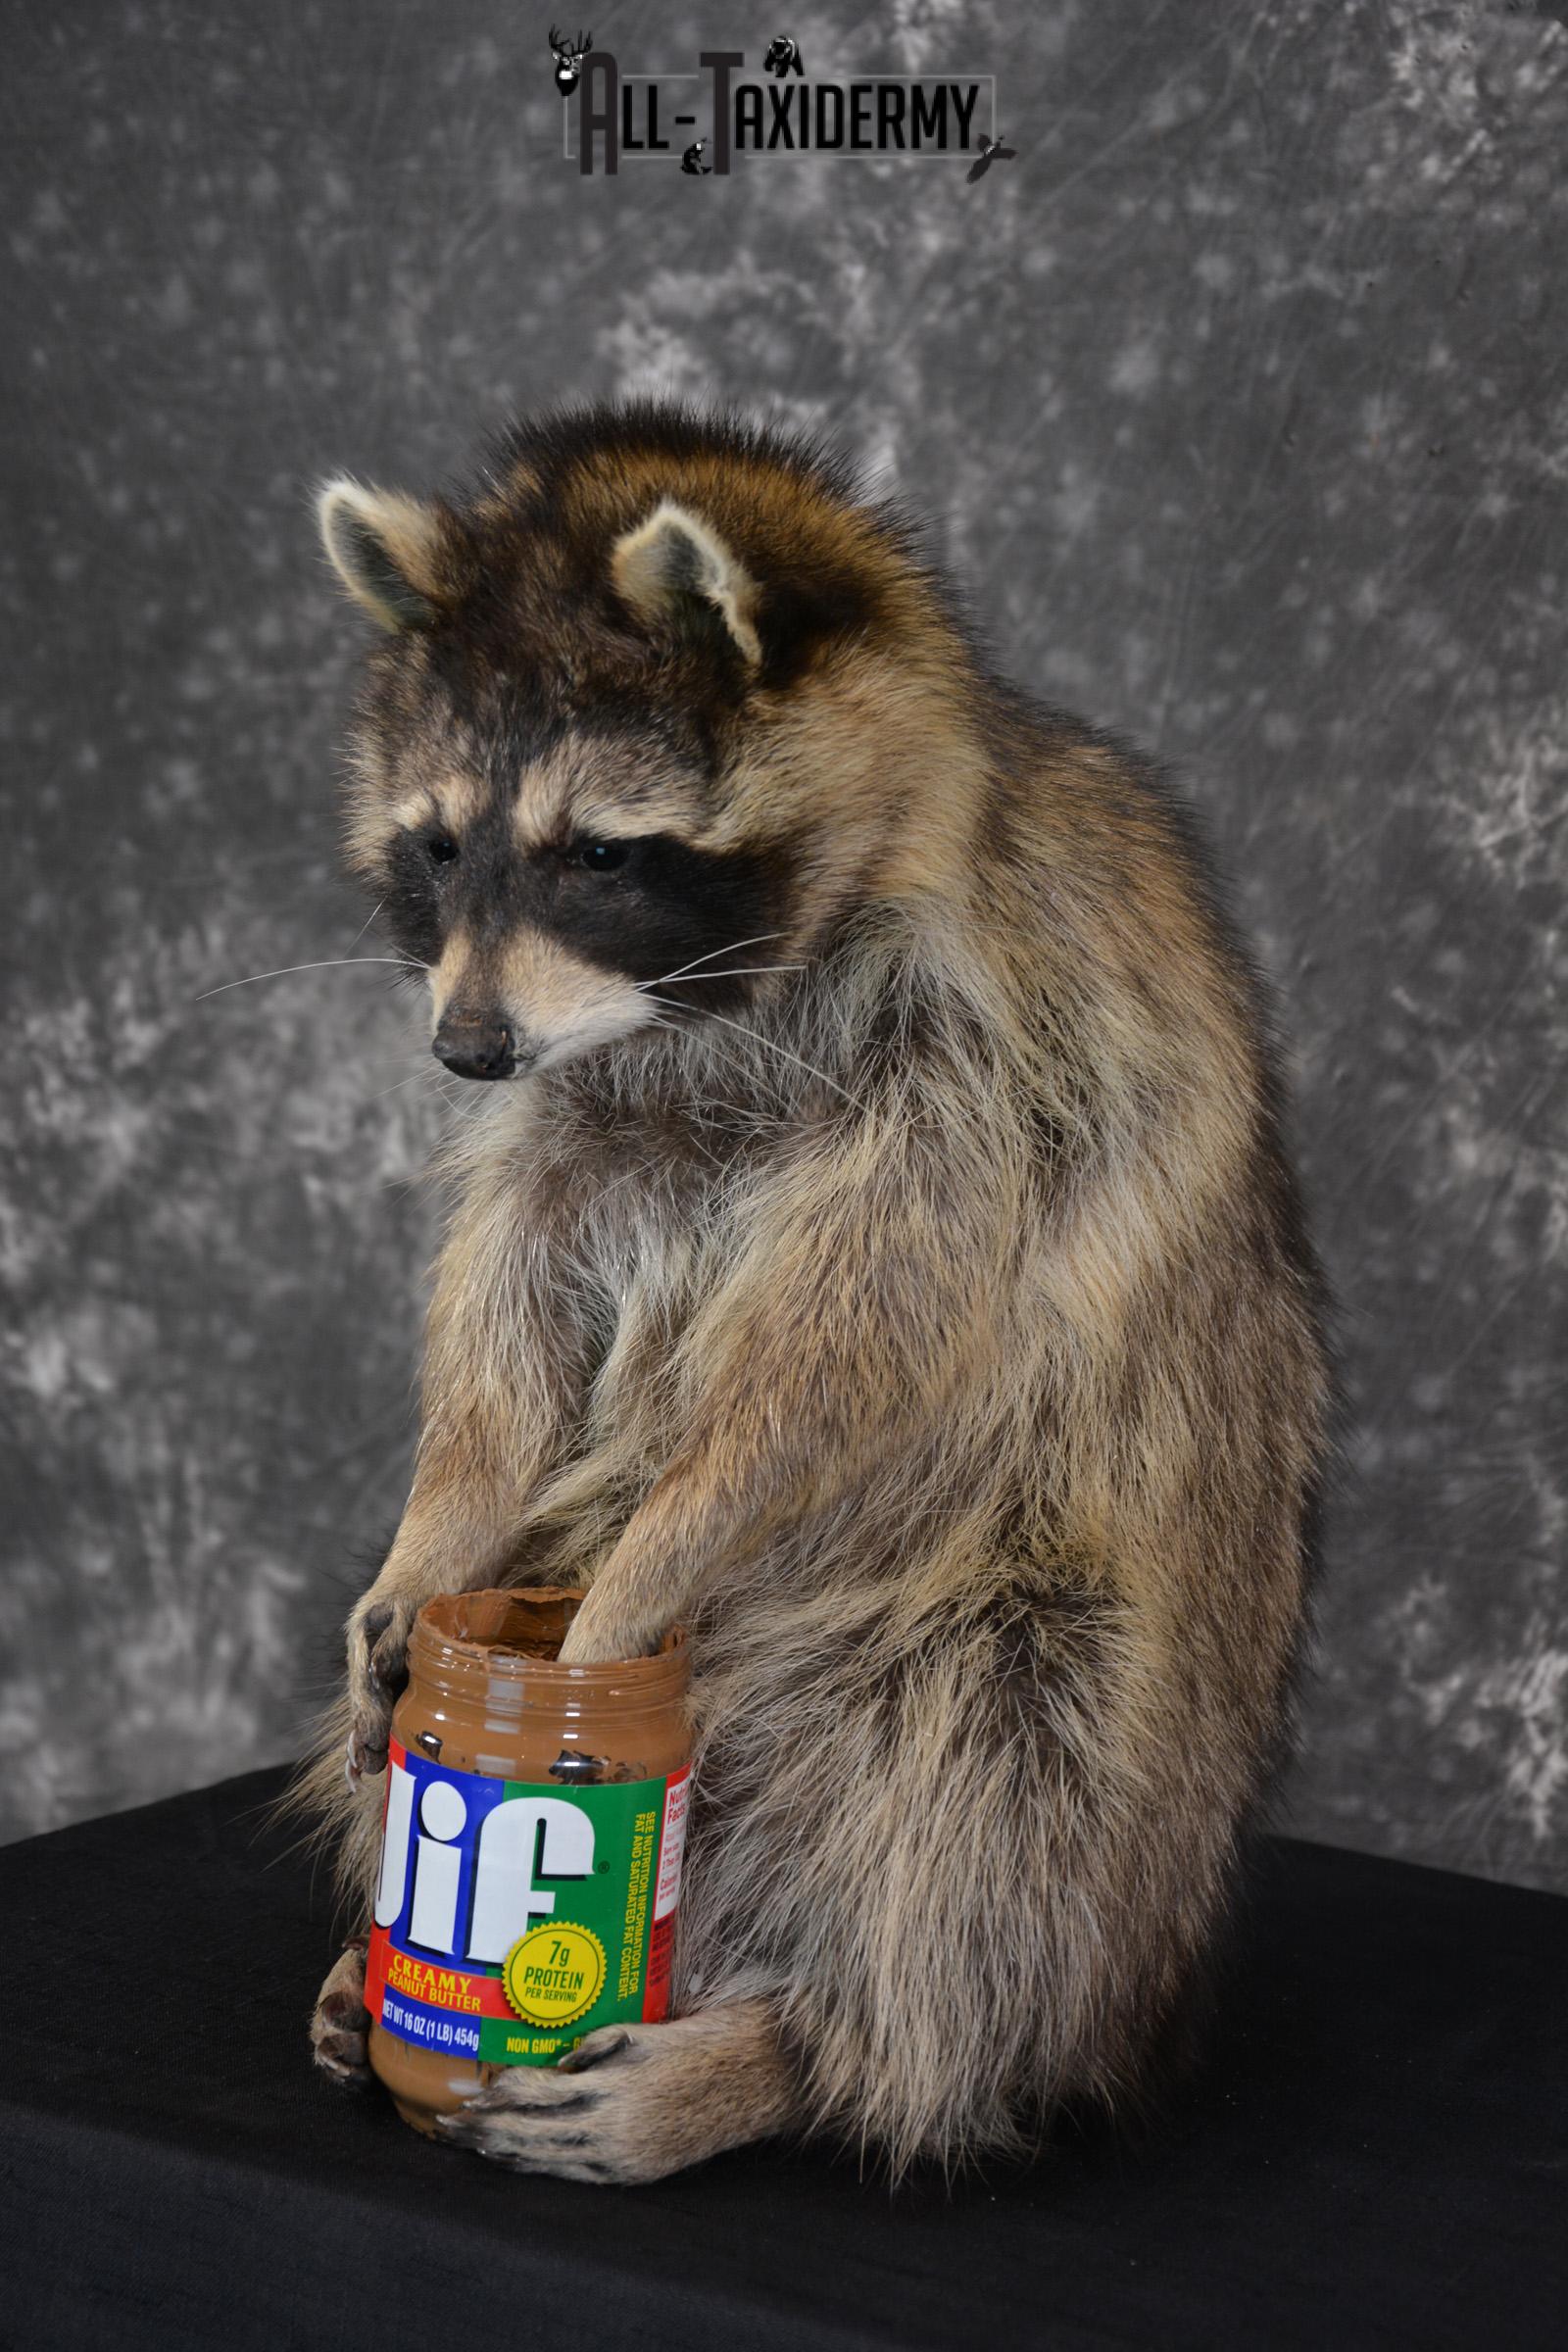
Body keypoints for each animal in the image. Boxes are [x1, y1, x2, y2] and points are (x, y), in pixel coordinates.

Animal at [296, 399, 1331, 2186]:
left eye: (597, 854)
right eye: (438, 847)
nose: (464, 1047)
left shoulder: (985, 1067)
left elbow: (842, 1365)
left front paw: (641, 1588)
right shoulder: (571, 1111)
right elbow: (513, 1307)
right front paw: (441, 1514)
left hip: (1085, 1691)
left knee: (993, 1793)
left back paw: (798, 2050)